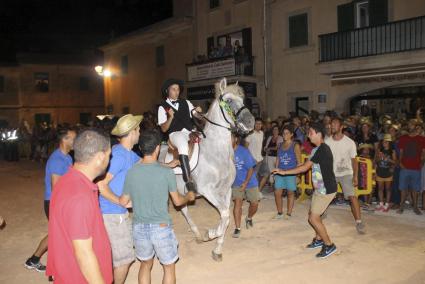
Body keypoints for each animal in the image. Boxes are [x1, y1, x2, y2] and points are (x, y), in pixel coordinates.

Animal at [161, 77, 253, 260]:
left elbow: (226, 217)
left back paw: (197, 235)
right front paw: (210, 234)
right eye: (229, 101)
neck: (215, 154)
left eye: (243, 99)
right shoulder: (208, 191)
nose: (250, 122)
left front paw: (217, 248)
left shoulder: (226, 190)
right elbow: (224, 214)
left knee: (184, 209)